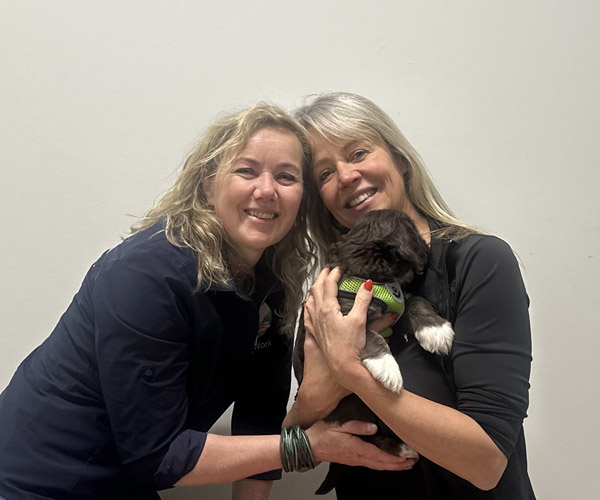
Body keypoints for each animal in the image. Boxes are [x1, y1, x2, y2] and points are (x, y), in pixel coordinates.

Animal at [293, 209, 454, 495]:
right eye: (412, 227)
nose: (428, 244)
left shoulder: (397, 307)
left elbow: (415, 300)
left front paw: (436, 331)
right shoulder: (345, 318)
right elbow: (370, 334)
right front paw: (386, 366)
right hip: (358, 403)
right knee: (369, 436)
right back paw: (402, 448)